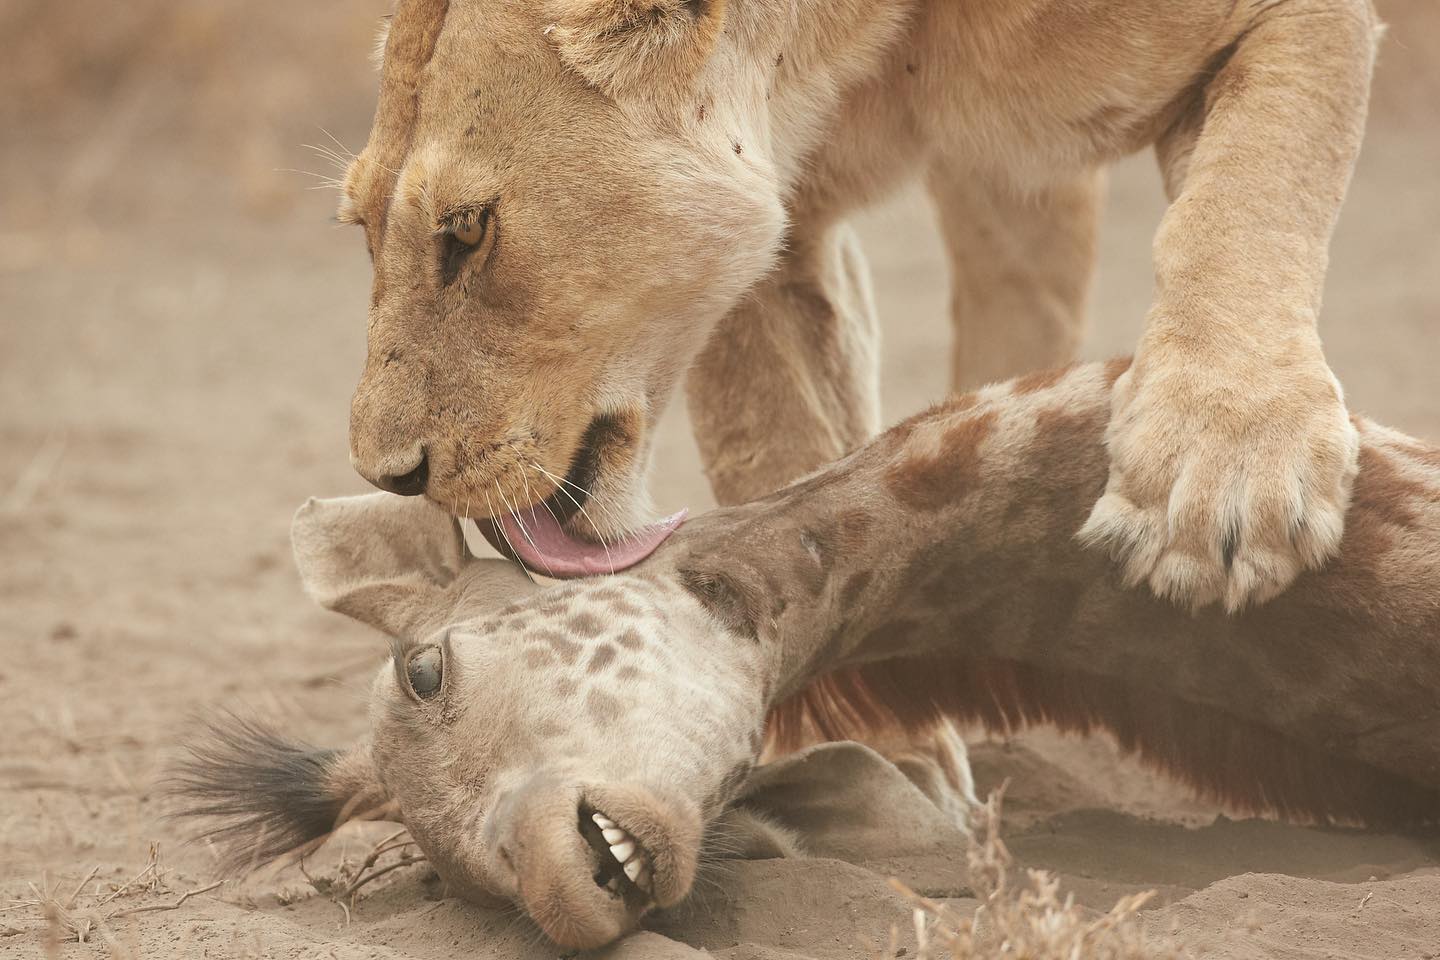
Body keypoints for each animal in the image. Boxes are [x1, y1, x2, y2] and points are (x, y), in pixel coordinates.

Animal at [340, 0, 1378, 612]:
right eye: (359, 224)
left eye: (467, 231)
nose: (391, 476)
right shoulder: (780, 220)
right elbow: (781, 443)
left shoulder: (1297, 18)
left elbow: (1248, 194)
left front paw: (1225, 464)